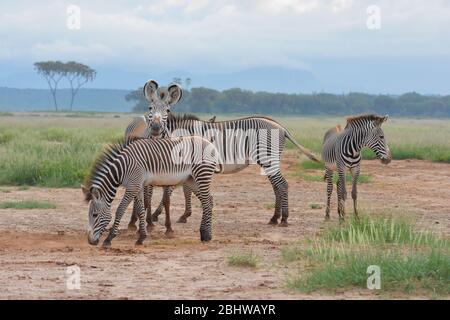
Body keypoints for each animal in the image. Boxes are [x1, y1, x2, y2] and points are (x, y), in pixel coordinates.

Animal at [82, 135, 221, 248]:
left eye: (94, 215)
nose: (90, 241)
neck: (123, 168)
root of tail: (210, 143)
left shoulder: (132, 186)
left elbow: (120, 210)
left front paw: (109, 239)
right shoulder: (137, 186)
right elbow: (140, 210)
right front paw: (141, 237)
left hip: (202, 174)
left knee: (207, 203)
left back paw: (207, 235)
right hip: (191, 180)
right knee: (208, 201)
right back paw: (203, 233)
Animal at [128, 79, 322, 228]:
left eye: (167, 111)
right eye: (150, 108)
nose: (155, 128)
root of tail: (281, 127)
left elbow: (177, 190)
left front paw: (161, 215)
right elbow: (184, 189)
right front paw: (183, 214)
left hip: (267, 158)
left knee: (282, 185)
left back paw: (283, 219)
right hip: (269, 160)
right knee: (277, 186)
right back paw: (275, 218)